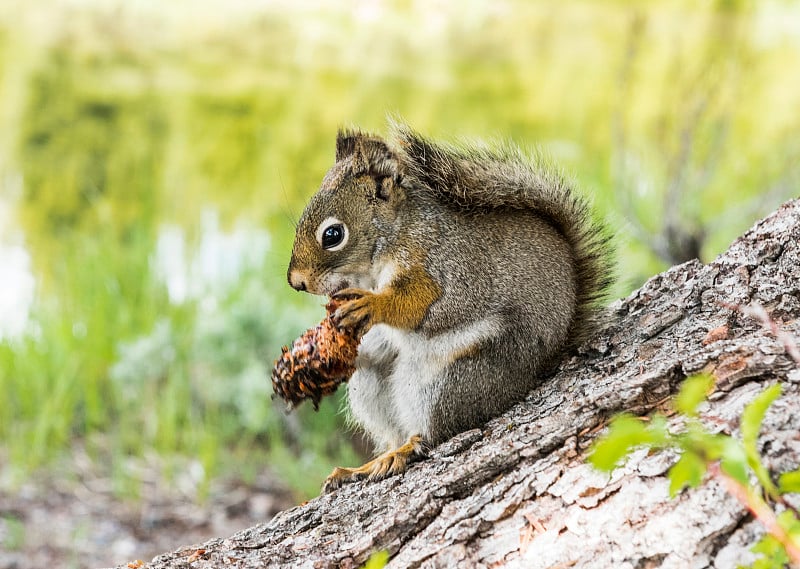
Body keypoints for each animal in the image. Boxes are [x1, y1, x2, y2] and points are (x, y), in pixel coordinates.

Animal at [288, 122, 612, 490]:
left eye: (332, 235)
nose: (295, 281)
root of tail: (537, 371)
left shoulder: (447, 268)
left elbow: (423, 307)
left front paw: (373, 306)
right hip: (371, 383)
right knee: (390, 425)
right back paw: (364, 466)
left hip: (452, 380)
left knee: (436, 431)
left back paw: (406, 449)